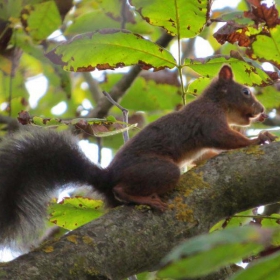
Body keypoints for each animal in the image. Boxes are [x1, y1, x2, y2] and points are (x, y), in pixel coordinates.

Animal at [0, 65, 276, 247]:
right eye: (246, 92)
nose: (262, 111)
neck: (217, 103)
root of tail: (107, 177)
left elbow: (205, 154)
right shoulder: (208, 120)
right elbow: (224, 139)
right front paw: (258, 139)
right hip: (158, 170)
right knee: (123, 189)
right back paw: (144, 198)